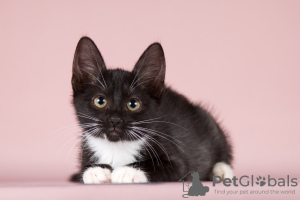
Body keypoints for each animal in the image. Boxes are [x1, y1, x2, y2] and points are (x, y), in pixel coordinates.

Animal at [69, 36, 232, 183]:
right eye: (100, 101)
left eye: (133, 104)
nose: (115, 119)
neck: (116, 147)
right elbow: (85, 167)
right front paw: (95, 170)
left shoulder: (179, 162)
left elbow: (163, 166)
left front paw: (128, 171)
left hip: (210, 126)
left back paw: (221, 171)